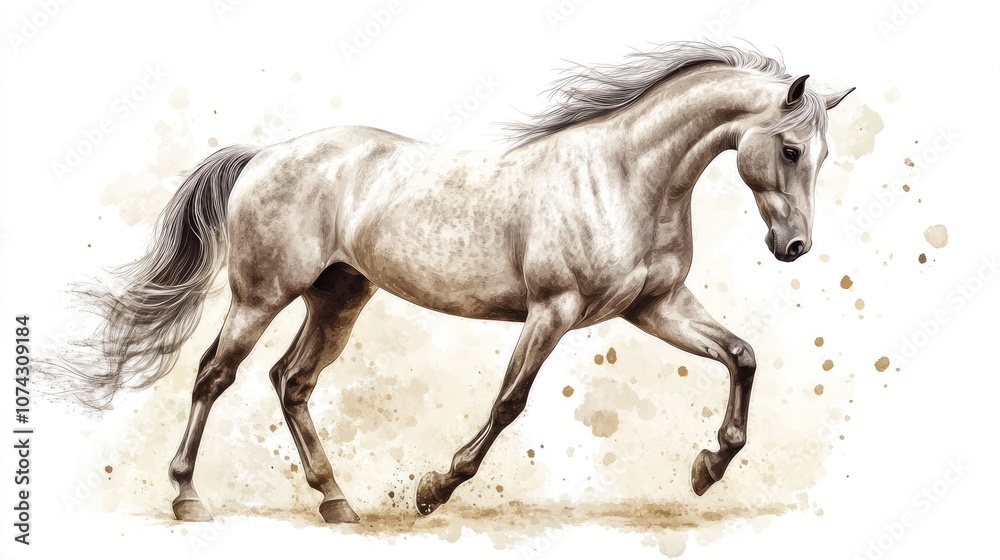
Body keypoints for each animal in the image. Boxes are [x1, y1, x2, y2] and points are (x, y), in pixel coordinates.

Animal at [61, 42, 853, 524]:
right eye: (790, 148)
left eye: (821, 155)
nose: (794, 247)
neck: (626, 176)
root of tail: (265, 154)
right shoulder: (553, 309)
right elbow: (509, 402)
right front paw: (433, 490)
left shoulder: (654, 306)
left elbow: (742, 355)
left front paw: (707, 468)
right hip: (262, 296)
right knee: (213, 375)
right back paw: (188, 498)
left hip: (338, 297)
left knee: (291, 381)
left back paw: (337, 502)